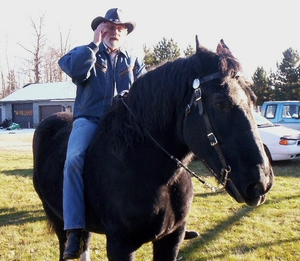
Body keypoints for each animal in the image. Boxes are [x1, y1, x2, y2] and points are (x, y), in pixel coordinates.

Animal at [32, 37, 274, 258]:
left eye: (253, 100)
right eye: (220, 103)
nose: (261, 182)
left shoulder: (172, 238)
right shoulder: (120, 244)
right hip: (57, 218)